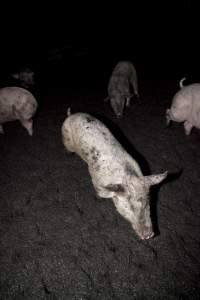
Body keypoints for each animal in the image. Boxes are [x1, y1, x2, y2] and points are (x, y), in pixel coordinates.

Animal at [61, 108, 167, 239]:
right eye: (129, 207)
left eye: (146, 203)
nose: (148, 235)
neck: (127, 177)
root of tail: (72, 115)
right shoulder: (97, 183)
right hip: (66, 137)